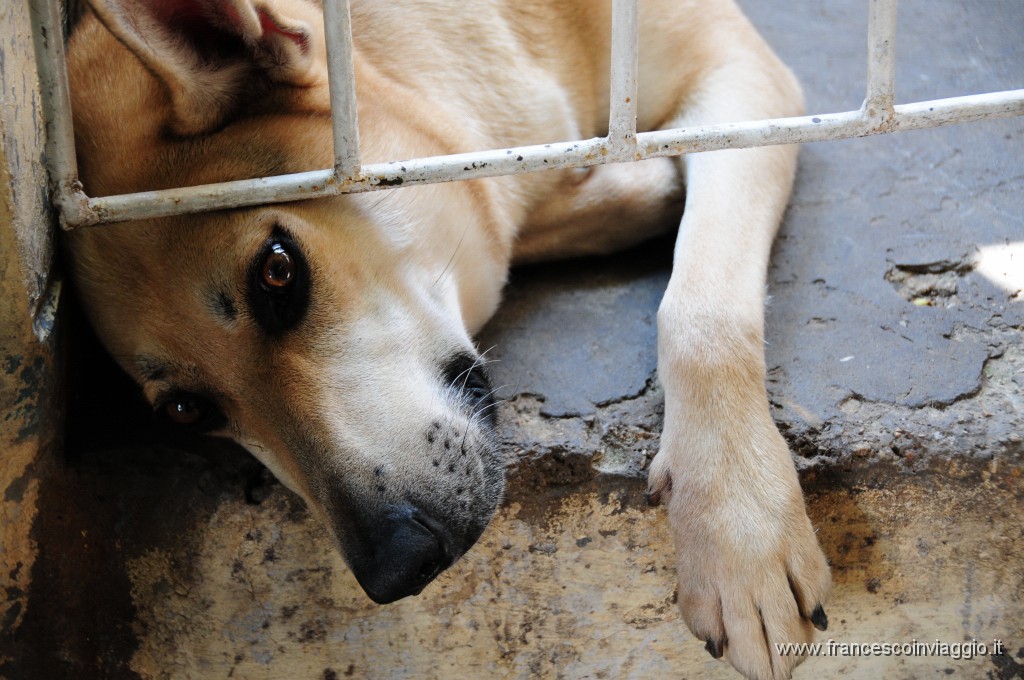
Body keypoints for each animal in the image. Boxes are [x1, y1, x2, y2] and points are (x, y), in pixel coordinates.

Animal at [61, 2, 831, 675]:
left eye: (277, 271)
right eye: (187, 411)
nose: (398, 566)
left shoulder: (740, 72)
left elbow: (702, 311)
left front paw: (735, 529)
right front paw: (620, 191)